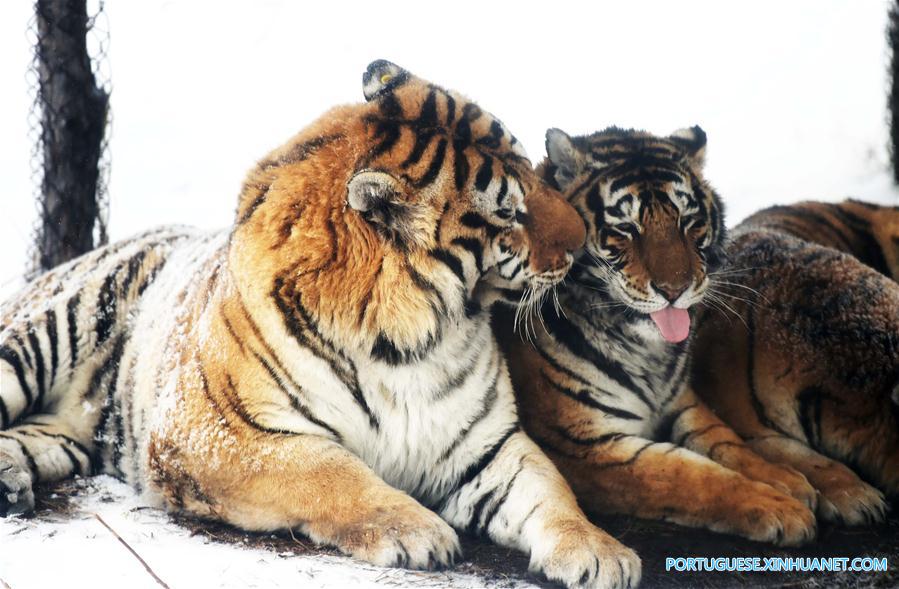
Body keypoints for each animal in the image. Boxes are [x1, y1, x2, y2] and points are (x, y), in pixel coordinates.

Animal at [0, 61, 641, 589]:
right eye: (508, 212)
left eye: (531, 168)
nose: (581, 243)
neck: (412, 343)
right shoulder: (217, 434)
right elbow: (331, 471)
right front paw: (417, 531)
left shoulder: (488, 445)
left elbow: (552, 491)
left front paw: (603, 553)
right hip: (40, 333)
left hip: (72, 430)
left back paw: (10, 479)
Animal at [495, 126, 819, 545]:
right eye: (626, 229)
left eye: (688, 222)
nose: (675, 289)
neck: (647, 353)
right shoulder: (583, 445)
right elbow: (689, 476)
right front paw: (783, 508)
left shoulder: (681, 404)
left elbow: (728, 441)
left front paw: (787, 480)